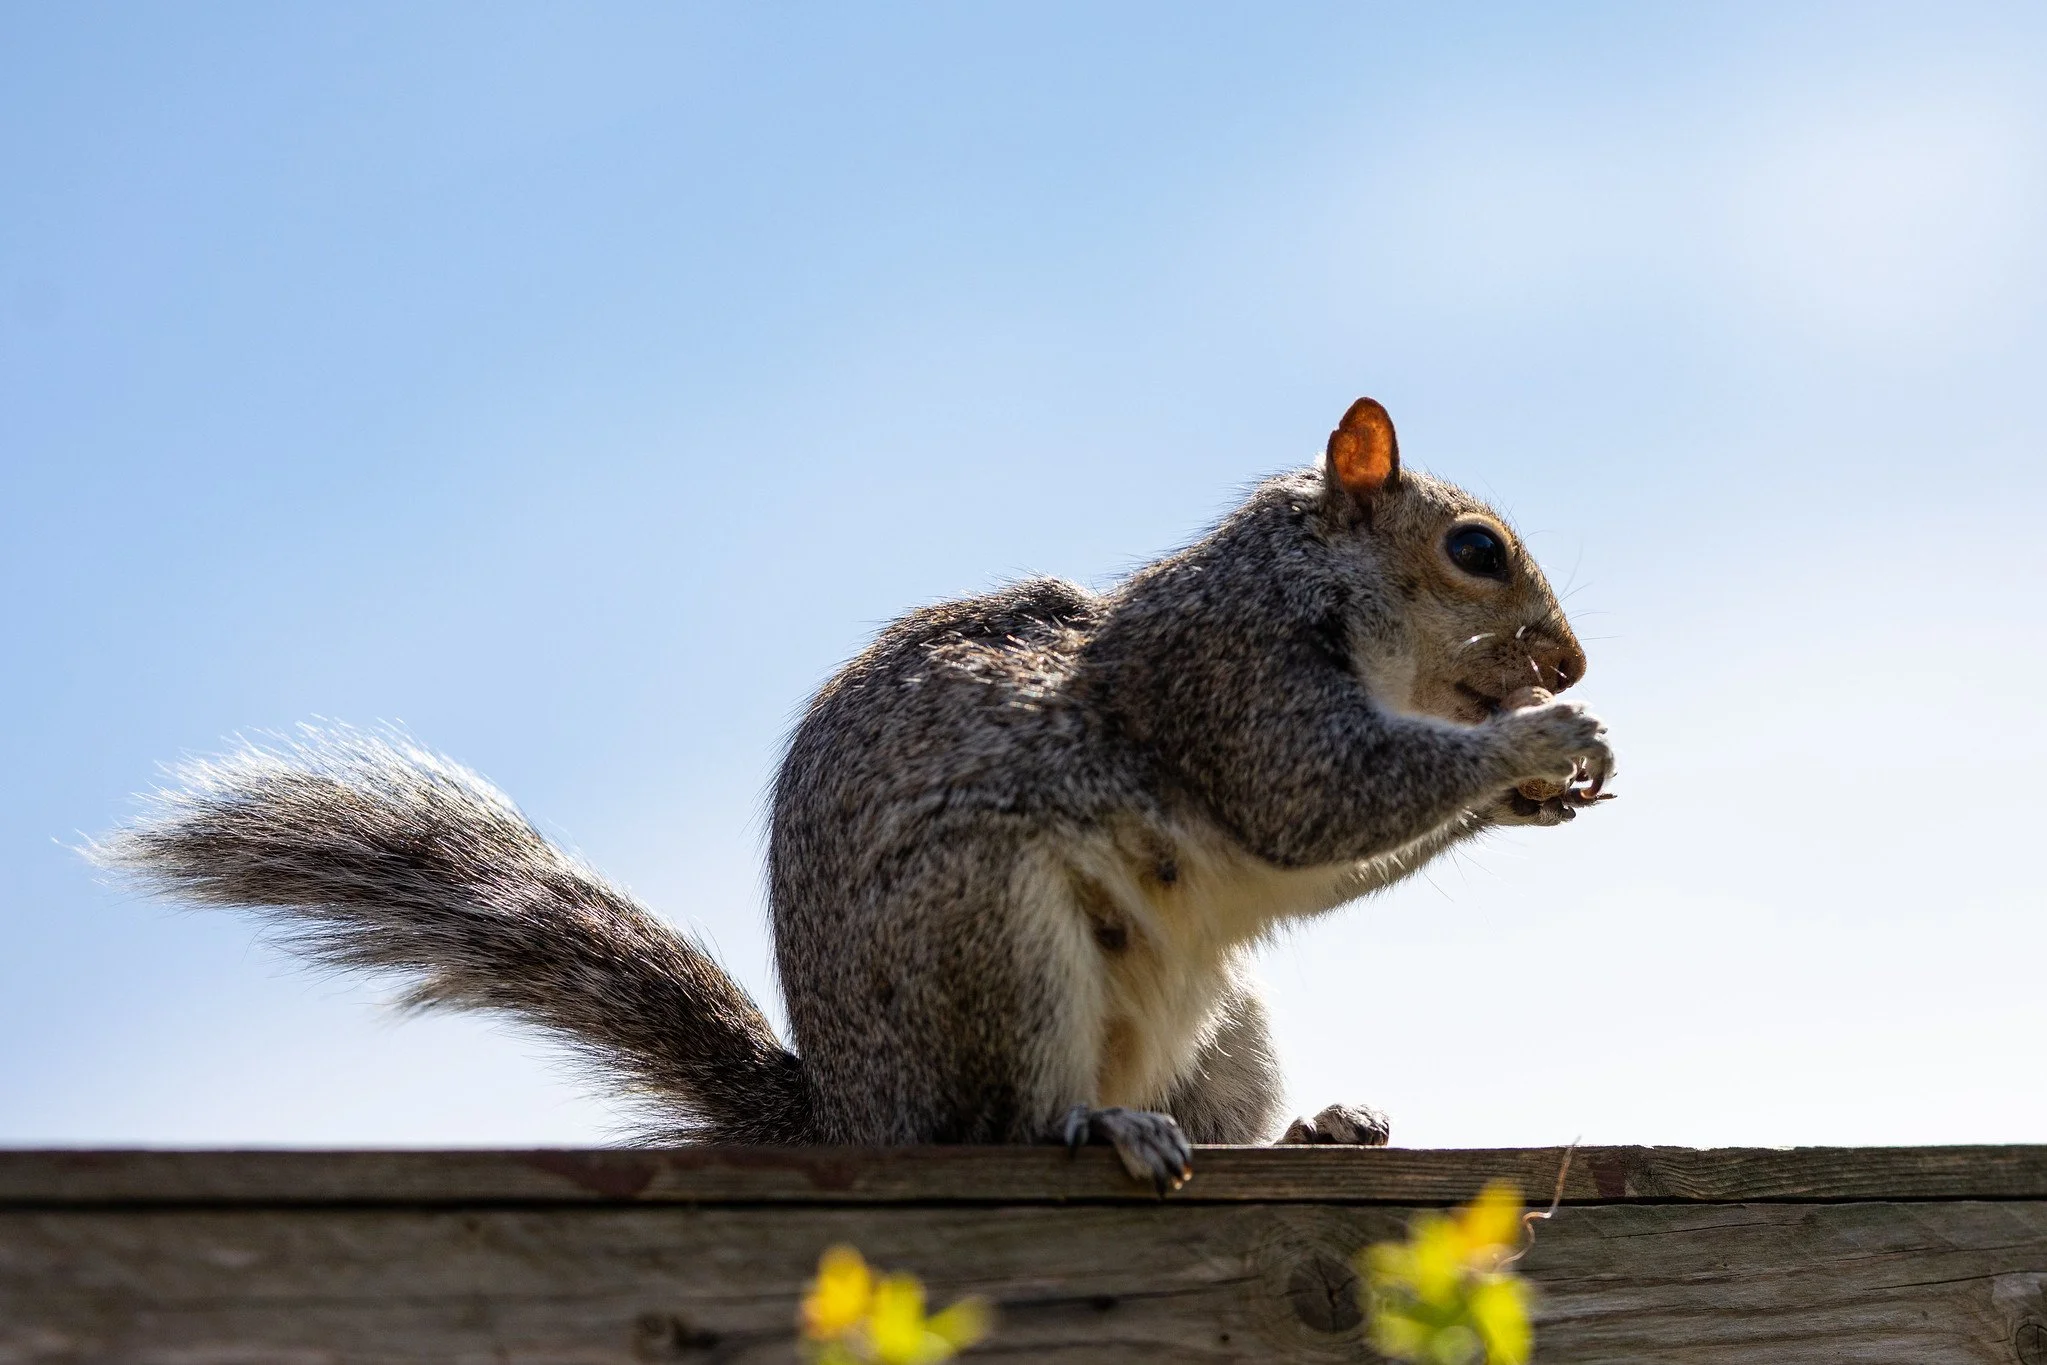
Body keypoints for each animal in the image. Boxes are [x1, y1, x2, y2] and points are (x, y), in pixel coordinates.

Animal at [98, 397, 1613, 1190]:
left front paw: (1546, 783)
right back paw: (1097, 1124)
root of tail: (850, 1111)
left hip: (1217, 1024)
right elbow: (1320, 801)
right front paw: (1545, 743)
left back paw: (1313, 1127)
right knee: (1004, 1126)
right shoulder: (1229, 684)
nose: (1568, 656)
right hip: (990, 941)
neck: (1318, 596)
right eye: (1474, 549)